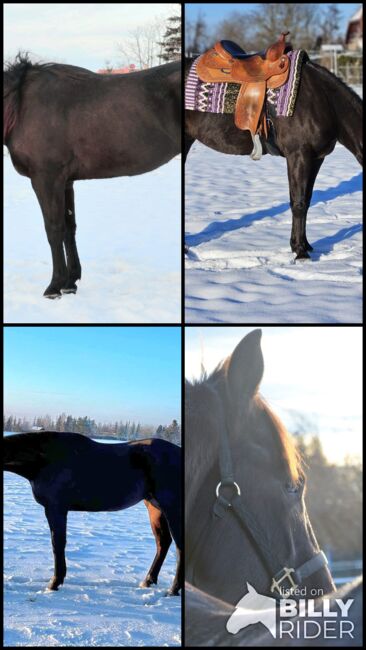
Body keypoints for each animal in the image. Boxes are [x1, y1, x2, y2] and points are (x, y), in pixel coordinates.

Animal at [2, 54, 180, 298]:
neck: (21, 106)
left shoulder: (46, 178)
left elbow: (54, 229)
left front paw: (55, 286)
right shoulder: (65, 182)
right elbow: (69, 228)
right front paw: (70, 282)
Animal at [4, 430, 182, 592]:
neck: (45, 460)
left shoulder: (55, 508)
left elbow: (57, 544)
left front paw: (54, 583)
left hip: (171, 508)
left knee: (179, 547)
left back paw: (173, 590)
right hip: (154, 508)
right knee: (163, 542)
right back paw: (148, 581)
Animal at [186, 52, 364, 258]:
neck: (326, 101)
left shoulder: (316, 159)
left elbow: (306, 200)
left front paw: (304, 245)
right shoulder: (298, 155)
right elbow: (298, 202)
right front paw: (300, 252)